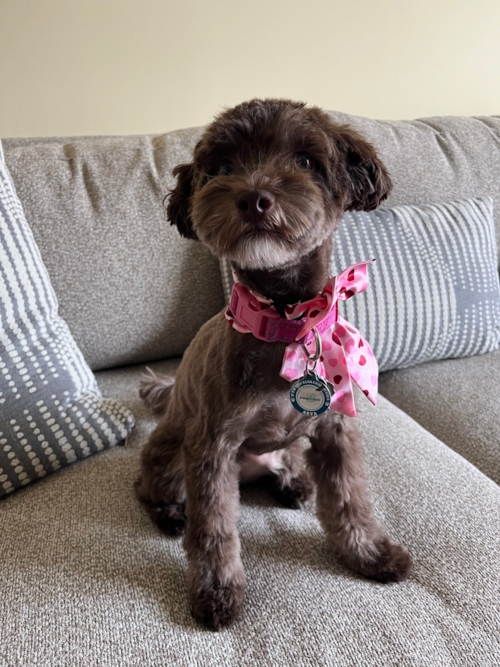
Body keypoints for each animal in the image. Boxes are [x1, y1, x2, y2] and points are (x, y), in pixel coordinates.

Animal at [135, 99, 412, 632]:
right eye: (222, 168)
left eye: (304, 161)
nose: (253, 198)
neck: (285, 324)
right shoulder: (212, 447)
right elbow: (213, 530)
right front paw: (217, 592)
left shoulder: (335, 430)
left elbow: (350, 498)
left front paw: (369, 553)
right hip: (173, 455)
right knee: (149, 487)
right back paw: (169, 513)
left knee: (291, 465)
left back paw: (295, 484)